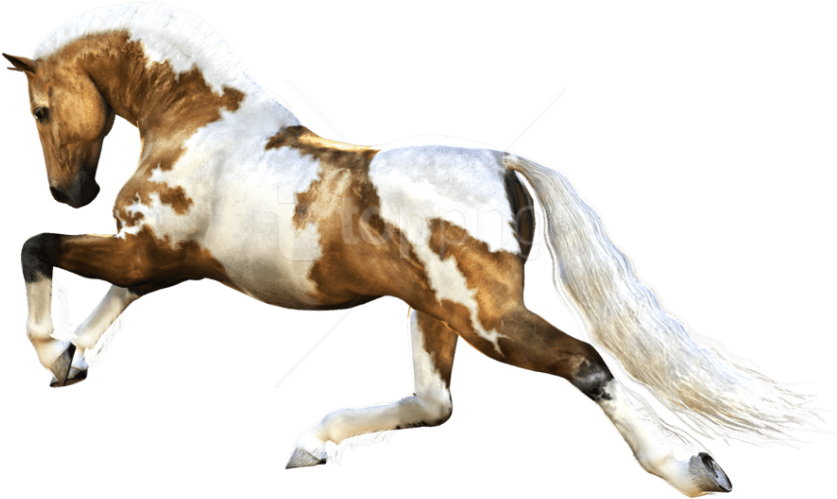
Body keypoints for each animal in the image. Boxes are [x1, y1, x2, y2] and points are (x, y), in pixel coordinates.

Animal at [6, 3, 830, 495]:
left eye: (41, 109)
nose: (71, 190)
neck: (201, 122)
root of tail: (502, 162)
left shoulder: (153, 251)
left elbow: (39, 247)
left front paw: (52, 347)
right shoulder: (155, 256)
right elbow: (111, 295)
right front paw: (75, 355)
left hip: (484, 316)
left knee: (584, 365)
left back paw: (687, 467)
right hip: (432, 309)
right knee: (435, 402)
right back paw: (313, 441)